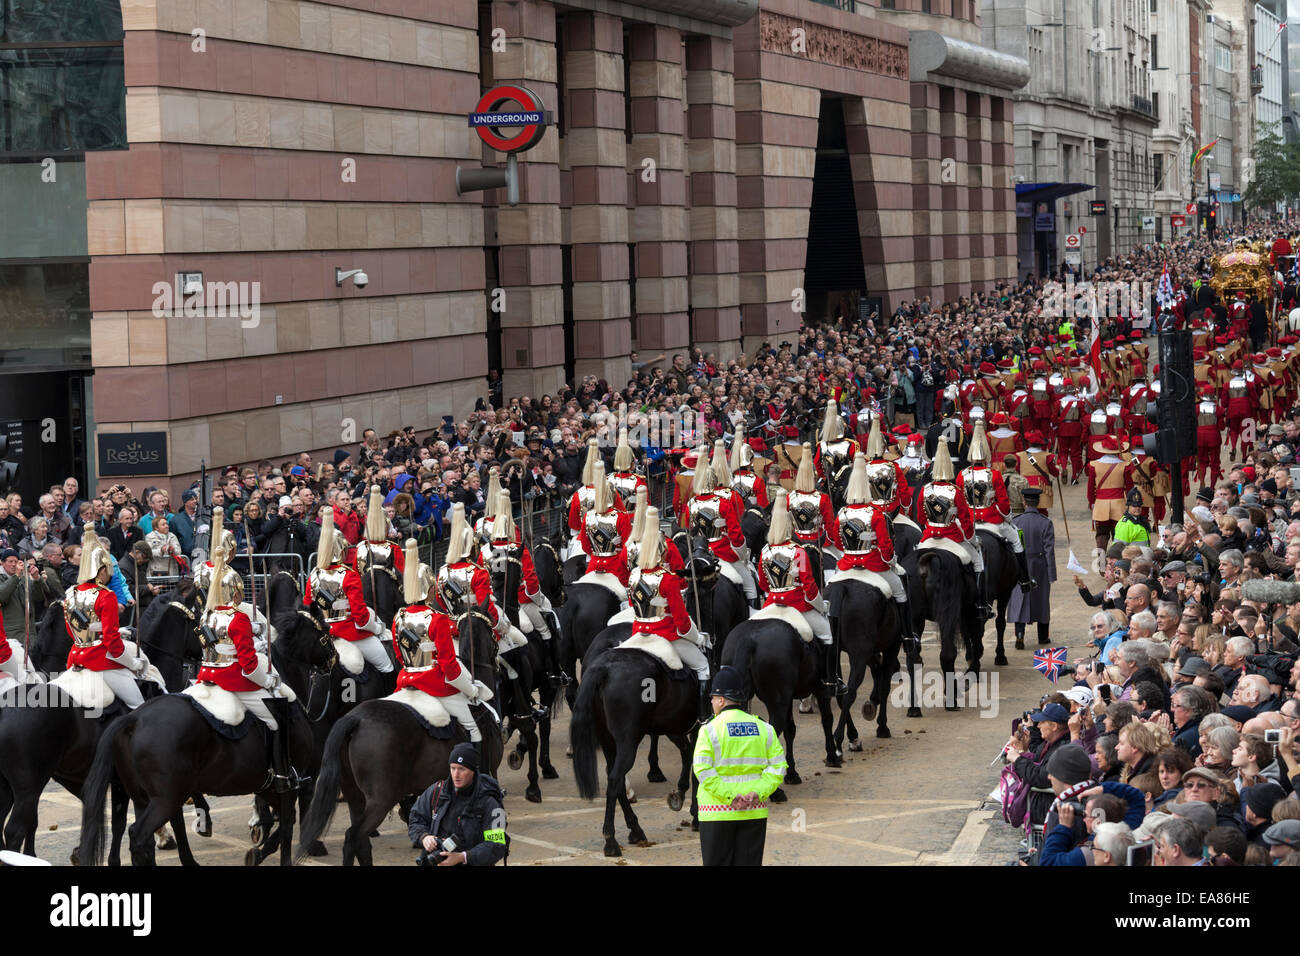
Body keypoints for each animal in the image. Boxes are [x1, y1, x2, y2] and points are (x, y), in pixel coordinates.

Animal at [295, 606, 501, 868]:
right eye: (493, 630)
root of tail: (355, 719)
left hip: (355, 795)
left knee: (361, 841)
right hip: (379, 800)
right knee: (353, 836)